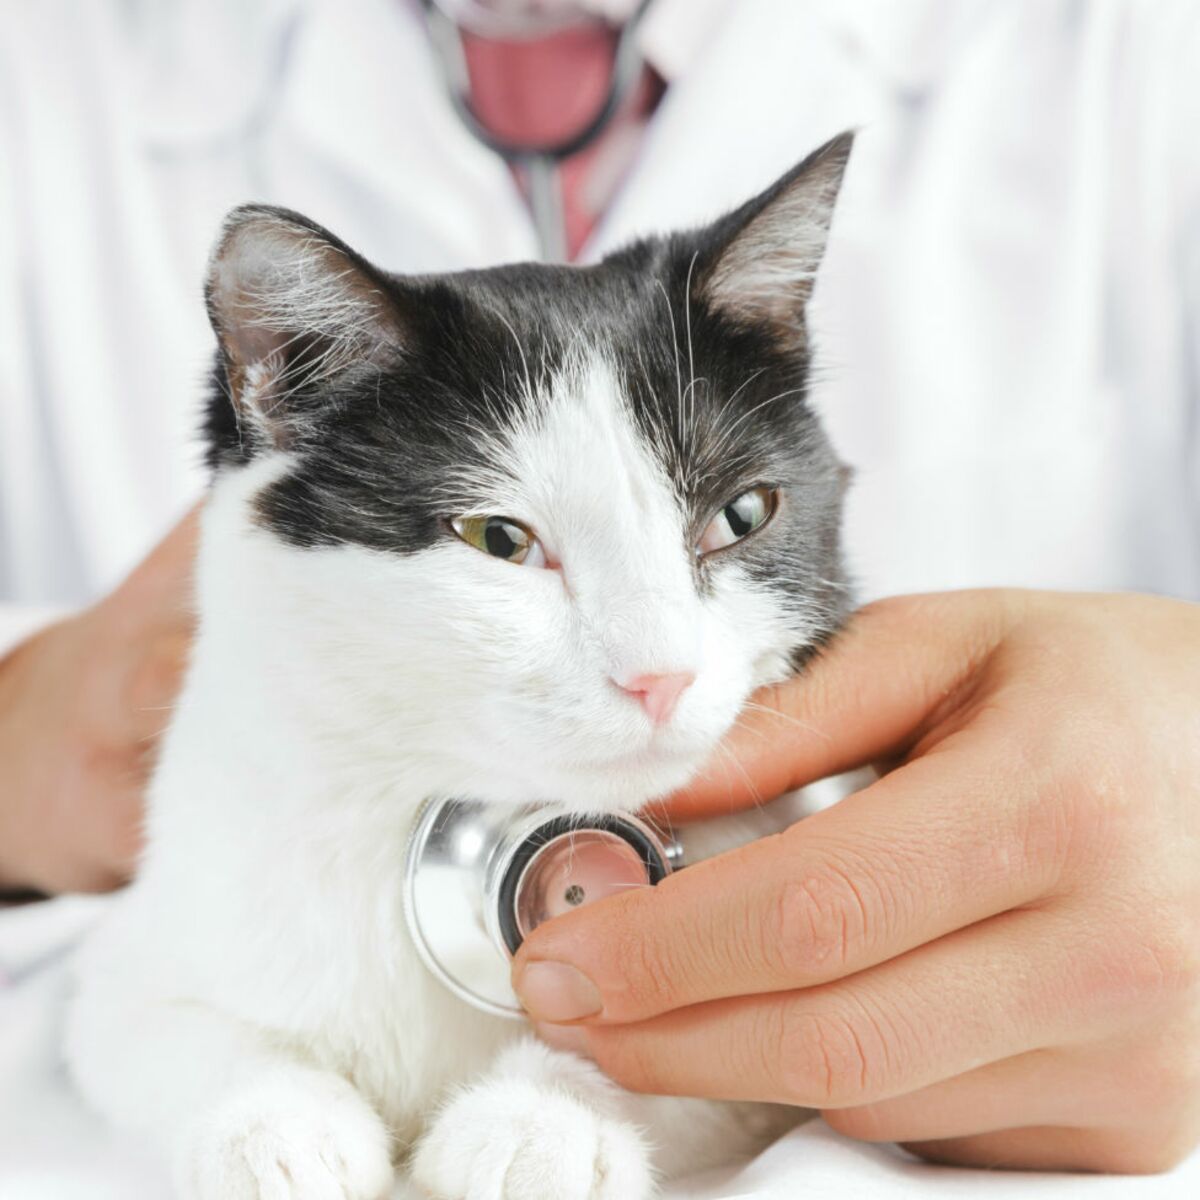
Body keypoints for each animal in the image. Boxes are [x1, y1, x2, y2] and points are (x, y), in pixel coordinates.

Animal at [63, 131, 854, 1200]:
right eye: (498, 538)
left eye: (742, 515)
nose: (662, 677)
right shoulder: (121, 966)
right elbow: (162, 1029)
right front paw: (277, 1125)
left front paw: (538, 1117)